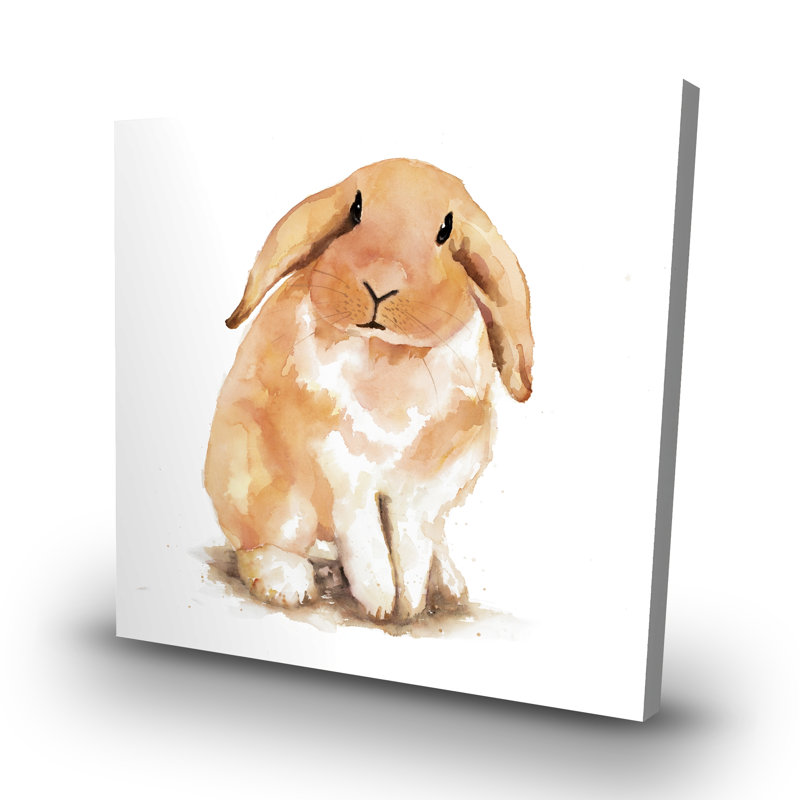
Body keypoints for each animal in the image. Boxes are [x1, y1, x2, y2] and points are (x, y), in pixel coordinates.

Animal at [204, 158, 533, 622]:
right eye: (355, 210)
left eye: (446, 229)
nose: (380, 285)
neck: (389, 355)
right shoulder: (344, 472)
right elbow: (367, 540)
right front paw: (380, 603)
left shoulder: (427, 487)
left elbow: (409, 544)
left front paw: (409, 606)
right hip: (261, 484)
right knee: (266, 542)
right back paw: (287, 584)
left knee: (429, 541)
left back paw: (447, 584)